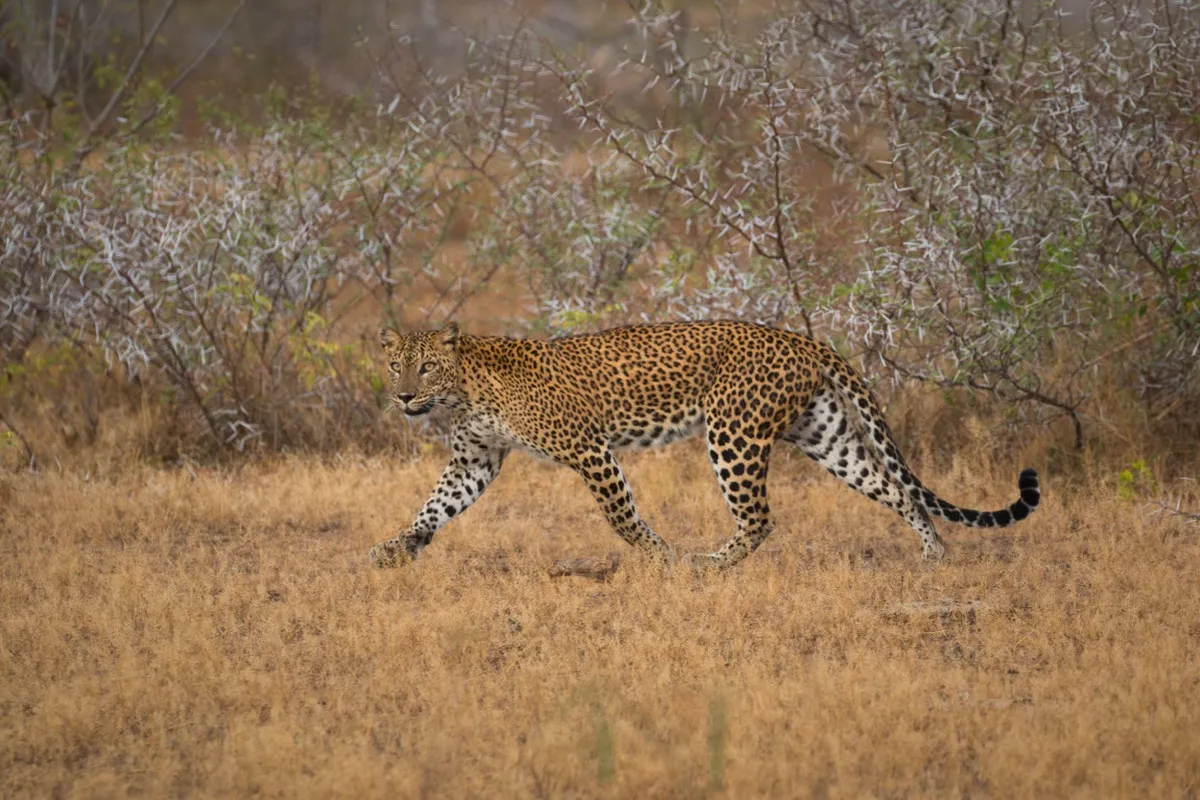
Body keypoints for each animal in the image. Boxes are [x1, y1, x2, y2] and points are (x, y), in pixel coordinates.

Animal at [368, 320, 1041, 570]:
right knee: (898, 491)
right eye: (396, 365)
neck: (463, 392)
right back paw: (934, 555)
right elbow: (435, 505)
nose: (403, 398)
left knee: (760, 519)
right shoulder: (474, 460)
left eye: (426, 366)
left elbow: (623, 517)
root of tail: (800, 337)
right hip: (824, 434)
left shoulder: (588, 449)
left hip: (733, 433)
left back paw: (708, 564)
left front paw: (661, 558)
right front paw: (397, 548)